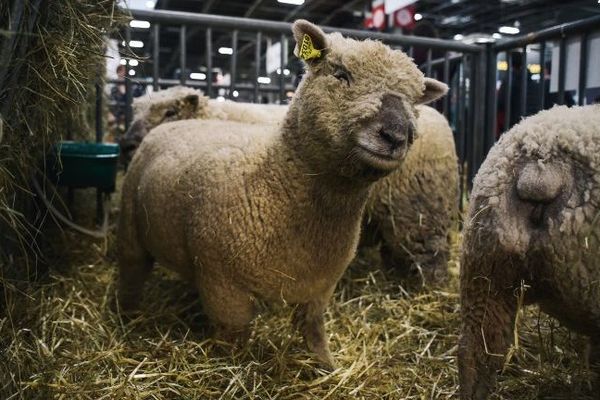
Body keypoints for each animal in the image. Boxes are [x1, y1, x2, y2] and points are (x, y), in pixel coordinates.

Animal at [117, 19, 446, 368]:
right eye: (341, 74)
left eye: (414, 100)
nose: (397, 135)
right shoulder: (224, 288)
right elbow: (235, 339)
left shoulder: (319, 287)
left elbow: (313, 328)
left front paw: (325, 366)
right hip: (131, 229)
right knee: (132, 272)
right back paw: (127, 316)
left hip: (417, 212)